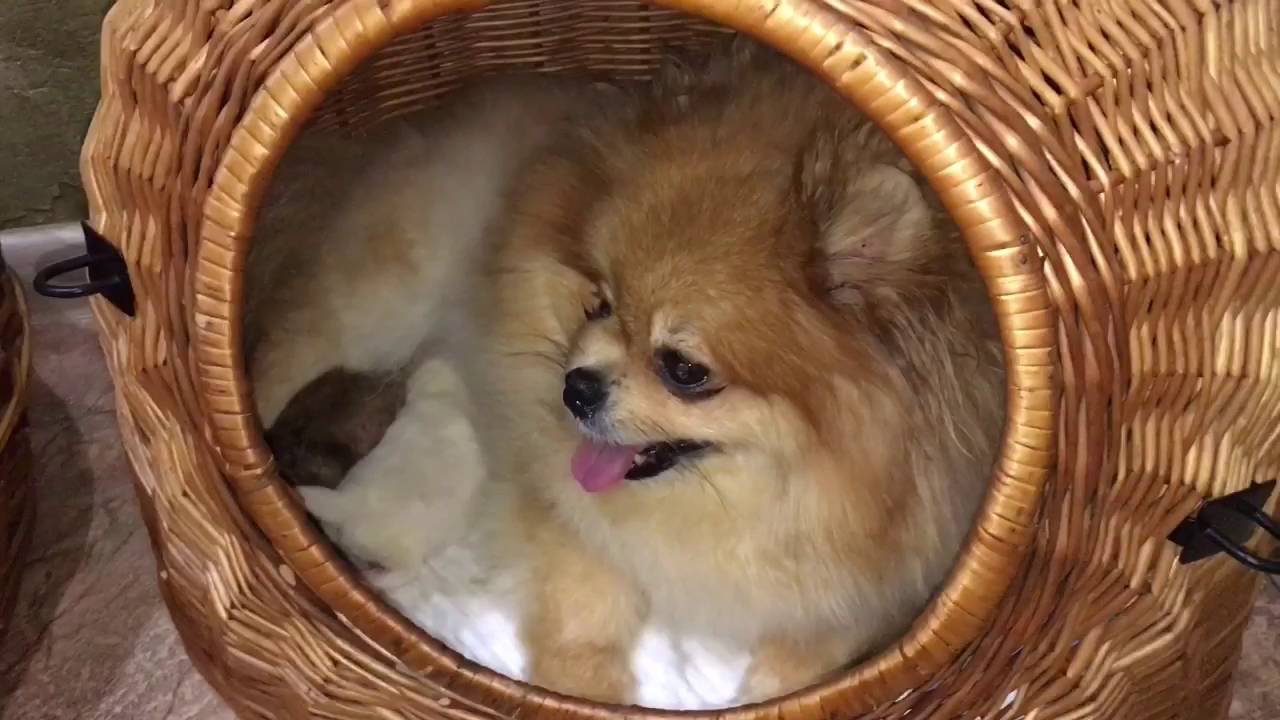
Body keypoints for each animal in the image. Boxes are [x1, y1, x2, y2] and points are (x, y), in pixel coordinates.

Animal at [249, 38, 1005, 706]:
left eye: (685, 370)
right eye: (599, 302)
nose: (574, 387)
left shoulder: (889, 576)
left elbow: (818, 651)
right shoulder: (567, 508)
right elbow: (585, 608)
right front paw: (585, 686)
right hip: (368, 307)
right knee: (276, 362)